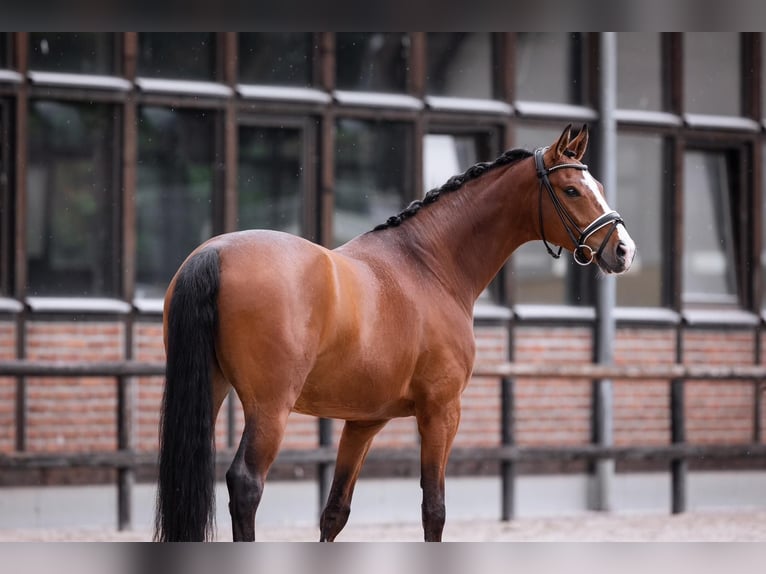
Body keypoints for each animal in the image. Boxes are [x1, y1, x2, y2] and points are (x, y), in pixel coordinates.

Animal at [154, 124, 636, 544]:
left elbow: (335, 512)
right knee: (246, 484)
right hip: (271, 408)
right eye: (572, 190)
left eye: (598, 186)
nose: (623, 251)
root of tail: (216, 252)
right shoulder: (441, 411)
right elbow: (434, 510)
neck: (428, 264)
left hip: (212, 389)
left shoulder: (364, 421)